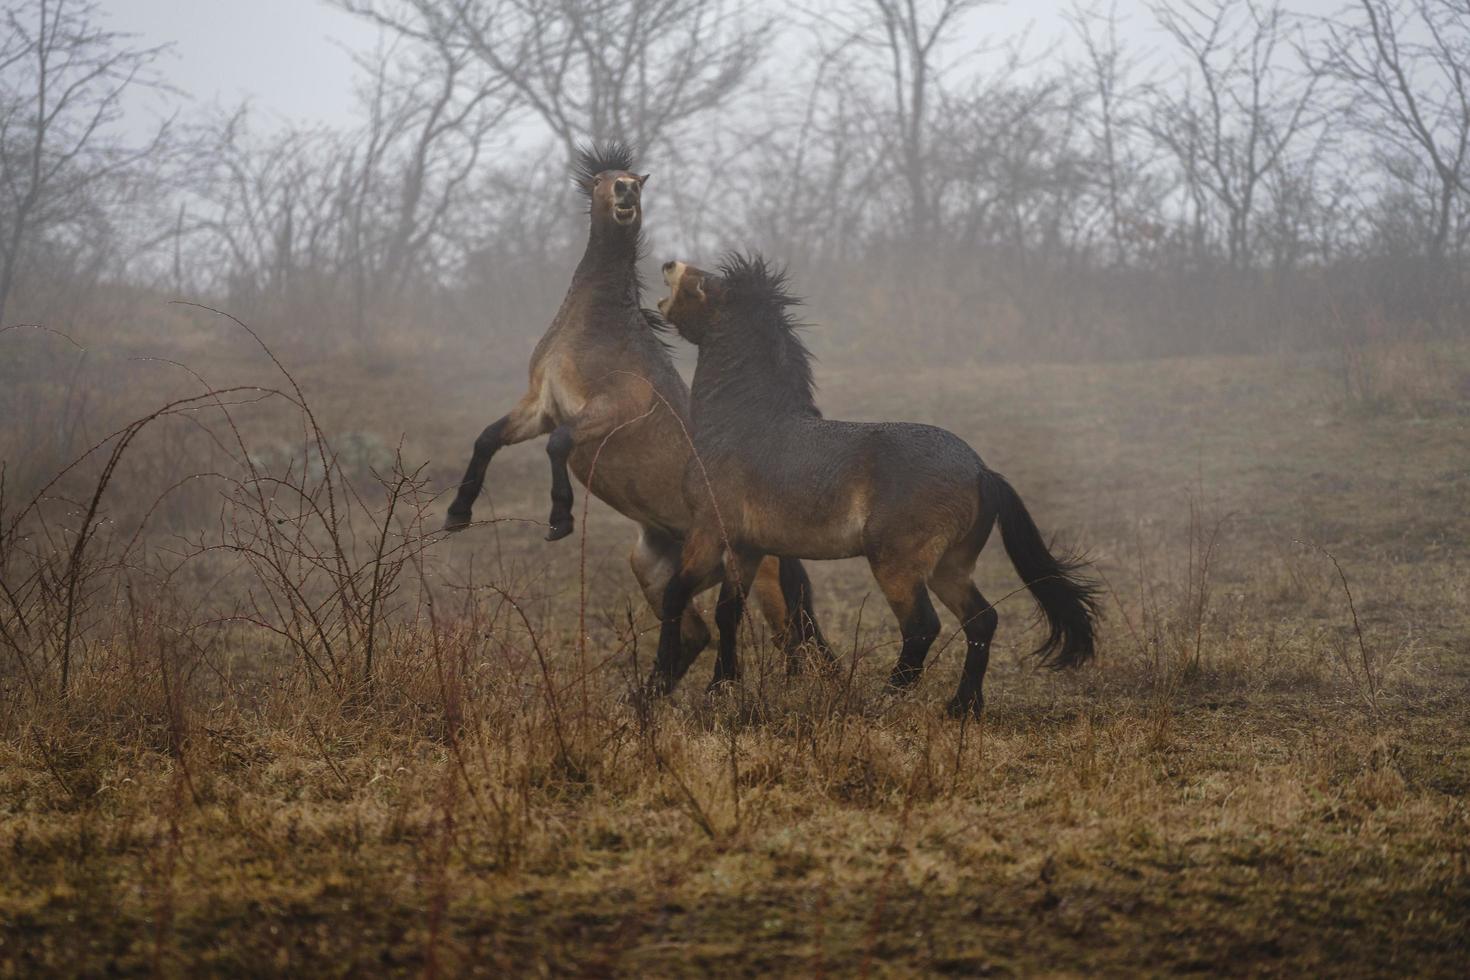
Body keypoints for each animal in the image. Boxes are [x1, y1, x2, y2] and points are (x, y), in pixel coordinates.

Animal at [441, 147, 834, 681]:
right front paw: (457, 514)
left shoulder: (616, 406)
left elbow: (559, 443)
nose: (625, 191)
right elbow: (488, 437)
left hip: (756, 573)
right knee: (697, 634)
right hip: (653, 565)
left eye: (636, 181)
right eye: (603, 180)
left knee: (793, 640)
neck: (596, 327)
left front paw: (559, 519)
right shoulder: (541, 404)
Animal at [649, 252, 1099, 714]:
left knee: (922, 626)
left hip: (896, 564)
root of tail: (980, 470)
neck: (742, 425)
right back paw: (962, 707)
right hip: (950, 566)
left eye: (703, 285)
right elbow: (729, 612)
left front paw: (658, 684)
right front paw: (720, 686)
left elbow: (675, 594)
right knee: (981, 620)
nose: (669, 263)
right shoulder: (746, 545)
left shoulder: (708, 530)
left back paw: (882, 700)